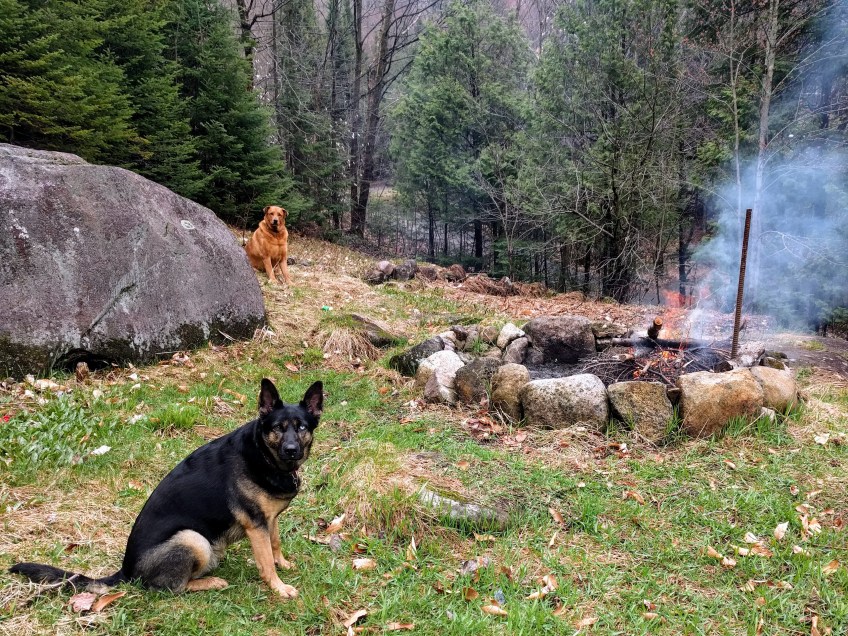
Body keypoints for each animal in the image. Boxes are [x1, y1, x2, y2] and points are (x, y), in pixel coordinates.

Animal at [10, 378, 322, 598]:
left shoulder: (268, 520)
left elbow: (275, 544)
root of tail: (126, 571)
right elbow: (265, 562)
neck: (263, 453)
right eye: (278, 428)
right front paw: (279, 587)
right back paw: (211, 581)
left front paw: (284, 564)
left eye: (301, 427)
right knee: (172, 587)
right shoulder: (255, 525)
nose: (291, 450)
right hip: (193, 539)